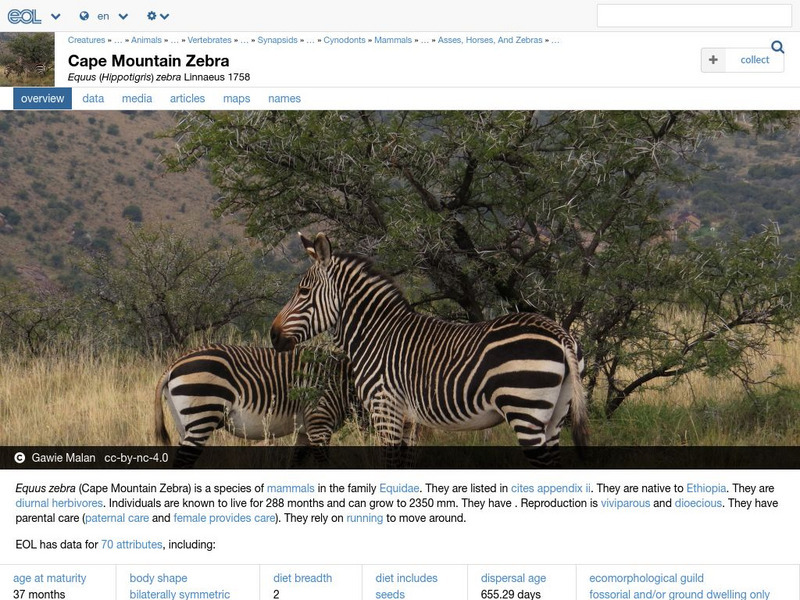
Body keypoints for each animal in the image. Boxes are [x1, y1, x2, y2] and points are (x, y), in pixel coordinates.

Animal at [154, 343, 357, 467]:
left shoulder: (304, 431)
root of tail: (173, 365)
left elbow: (296, 464)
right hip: (203, 415)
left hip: (183, 422)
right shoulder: (319, 423)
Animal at [270, 233, 588, 464]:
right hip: (557, 415)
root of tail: (560, 333)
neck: (375, 335)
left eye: (303, 292)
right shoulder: (410, 421)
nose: (273, 336)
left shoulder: (386, 410)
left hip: (526, 410)